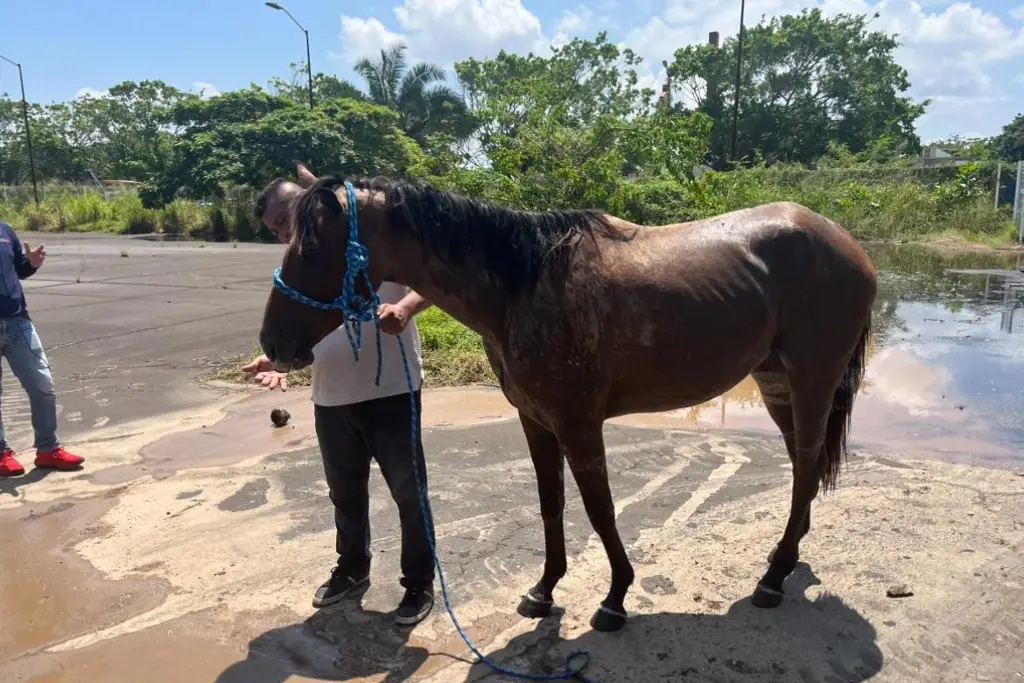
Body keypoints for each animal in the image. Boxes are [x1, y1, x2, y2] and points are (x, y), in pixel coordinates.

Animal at [258, 166, 880, 634]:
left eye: (309, 247)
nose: (272, 344)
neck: (524, 286)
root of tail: (849, 245)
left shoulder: (579, 424)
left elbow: (600, 510)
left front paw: (615, 597)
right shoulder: (537, 422)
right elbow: (551, 504)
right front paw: (544, 589)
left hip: (812, 381)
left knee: (805, 465)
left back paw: (772, 579)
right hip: (776, 384)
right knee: (802, 465)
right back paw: (784, 560)